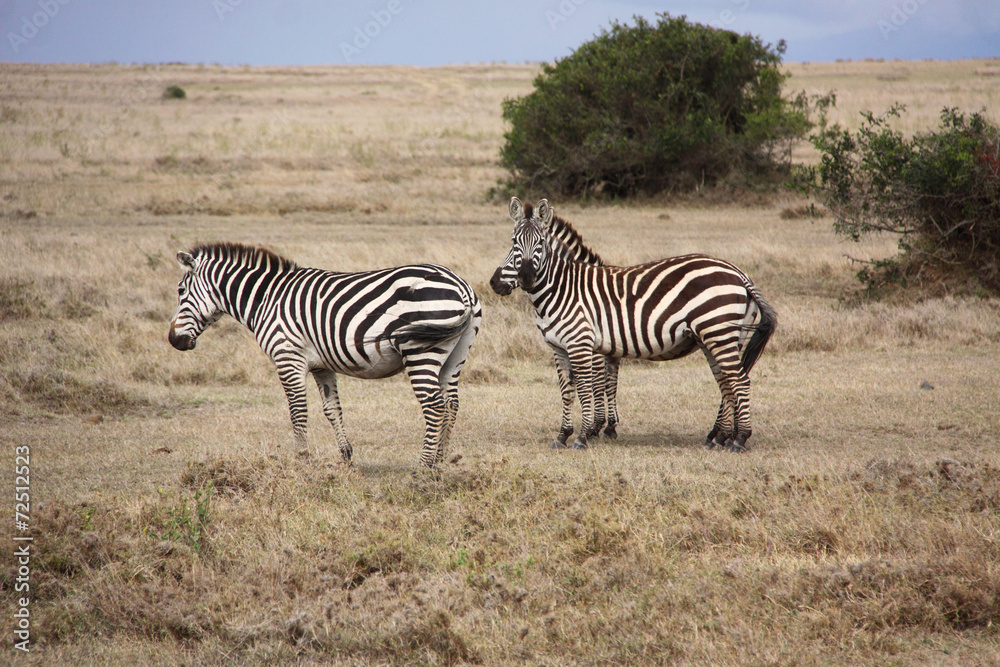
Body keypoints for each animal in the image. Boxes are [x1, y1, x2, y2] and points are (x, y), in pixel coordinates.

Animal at [168, 242, 482, 468]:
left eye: (181, 290)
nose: (174, 340)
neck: (267, 299)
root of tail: (461, 286)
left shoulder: (288, 358)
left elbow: (297, 411)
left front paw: (301, 460)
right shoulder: (321, 366)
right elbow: (332, 409)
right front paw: (346, 456)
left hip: (420, 351)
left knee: (434, 405)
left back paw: (424, 464)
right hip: (454, 354)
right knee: (451, 403)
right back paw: (441, 458)